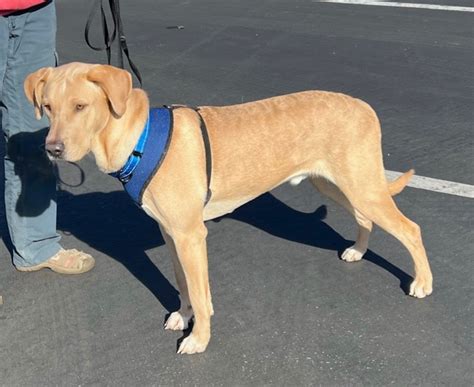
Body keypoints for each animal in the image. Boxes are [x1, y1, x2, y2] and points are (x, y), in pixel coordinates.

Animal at [25, 63, 434, 354]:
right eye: (48, 107)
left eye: (81, 106)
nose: (53, 149)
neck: (138, 139)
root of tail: (364, 105)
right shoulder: (172, 234)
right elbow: (183, 285)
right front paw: (183, 316)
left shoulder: (191, 236)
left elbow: (201, 294)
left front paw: (199, 339)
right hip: (337, 185)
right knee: (366, 218)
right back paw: (359, 250)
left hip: (362, 188)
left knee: (410, 229)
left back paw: (423, 282)